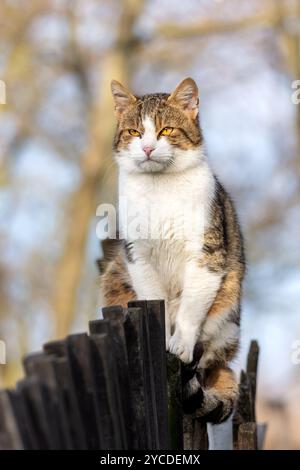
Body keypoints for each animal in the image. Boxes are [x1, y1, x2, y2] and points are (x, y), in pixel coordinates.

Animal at [99, 77, 245, 422]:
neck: (159, 189)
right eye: (134, 132)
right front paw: (163, 340)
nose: (148, 148)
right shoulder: (137, 256)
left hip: (227, 308)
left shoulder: (207, 255)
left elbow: (190, 308)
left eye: (166, 130)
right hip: (114, 275)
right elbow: (157, 303)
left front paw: (179, 344)